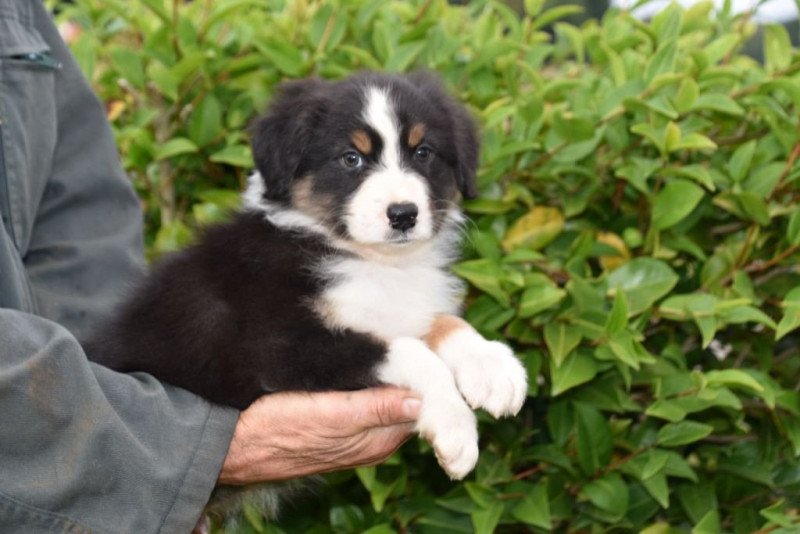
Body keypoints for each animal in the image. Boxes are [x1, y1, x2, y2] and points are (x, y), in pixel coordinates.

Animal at [87, 70, 528, 510]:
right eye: (351, 158)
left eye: (423, 153)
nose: (404, 215)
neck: (366, 259)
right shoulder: (275, 346)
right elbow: (409, 351)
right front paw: (456, 430)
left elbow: (442, 323)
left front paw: (493, 368)